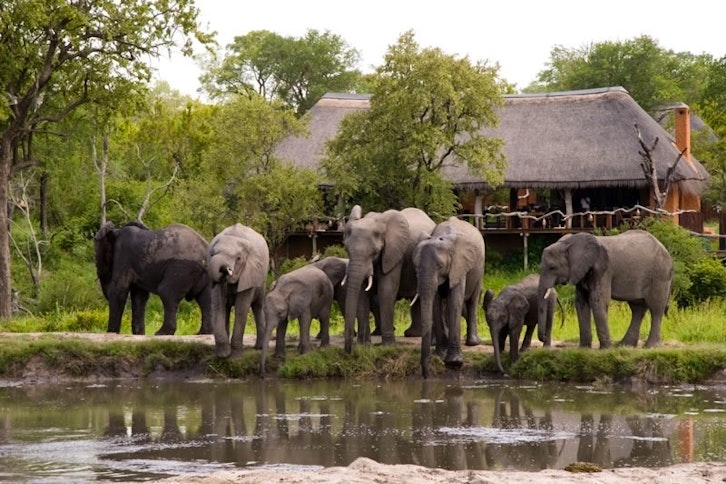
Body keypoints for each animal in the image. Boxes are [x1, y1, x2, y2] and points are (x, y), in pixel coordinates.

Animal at [207, 223, 270, 358]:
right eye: (212, 254)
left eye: (239, 258)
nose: (226, 269)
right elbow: (218, 304)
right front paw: (223, 355)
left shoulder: (249, 272)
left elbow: (241, 308)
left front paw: (235, 357)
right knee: (225, 308)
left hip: (262, 278)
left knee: (257, 305)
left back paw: (259, 348)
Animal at [342, 205, 436, 353]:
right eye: (347, 250)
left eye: (375, 252)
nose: (348, 351)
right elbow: (362, 294)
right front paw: (363, 345)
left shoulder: (394, 254)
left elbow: (386, 291)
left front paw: (388, 346)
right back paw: (412, 334)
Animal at [412, 216, 484, 378]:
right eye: (416, 267)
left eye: (440, 266)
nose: (426, 376)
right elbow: (435, 303)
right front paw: (439, 354)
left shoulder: (459, 264)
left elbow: (455, 301)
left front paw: (454, 363)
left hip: (480, 268)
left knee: (473, 301)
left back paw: (473, 342)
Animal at [538, 230, 673, 349]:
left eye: (552, 267)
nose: (544, 338)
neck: (569, 243)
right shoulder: (582, 272)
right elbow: (581, 303)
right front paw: (583, 348)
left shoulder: (603, 269)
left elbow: (598, 301)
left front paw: (606, 348)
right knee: (637, 308)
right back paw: (625, 345)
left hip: (660, 274)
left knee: (656, 308)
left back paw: (650, 346)